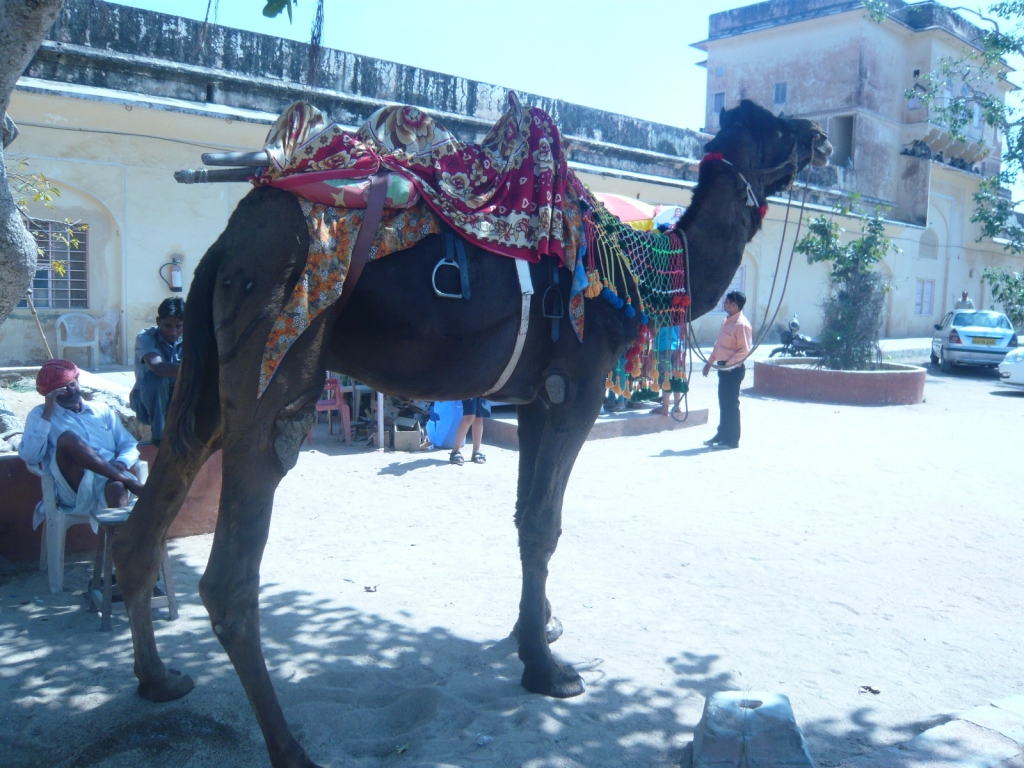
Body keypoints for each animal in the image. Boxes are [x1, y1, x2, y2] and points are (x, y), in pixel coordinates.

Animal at [114, 100, 831, 768]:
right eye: (775, 126)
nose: (821, 138)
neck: (628, 274)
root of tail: (227, 243)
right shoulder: (575, 392)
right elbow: (543, 525)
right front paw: (547, 670)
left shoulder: (534, 397)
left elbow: (527, 521)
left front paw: (537, 630)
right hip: (278, 341)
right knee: (231, 570)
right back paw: (291, 749)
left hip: (209, 375)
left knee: (148, 516)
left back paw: (158, 680)